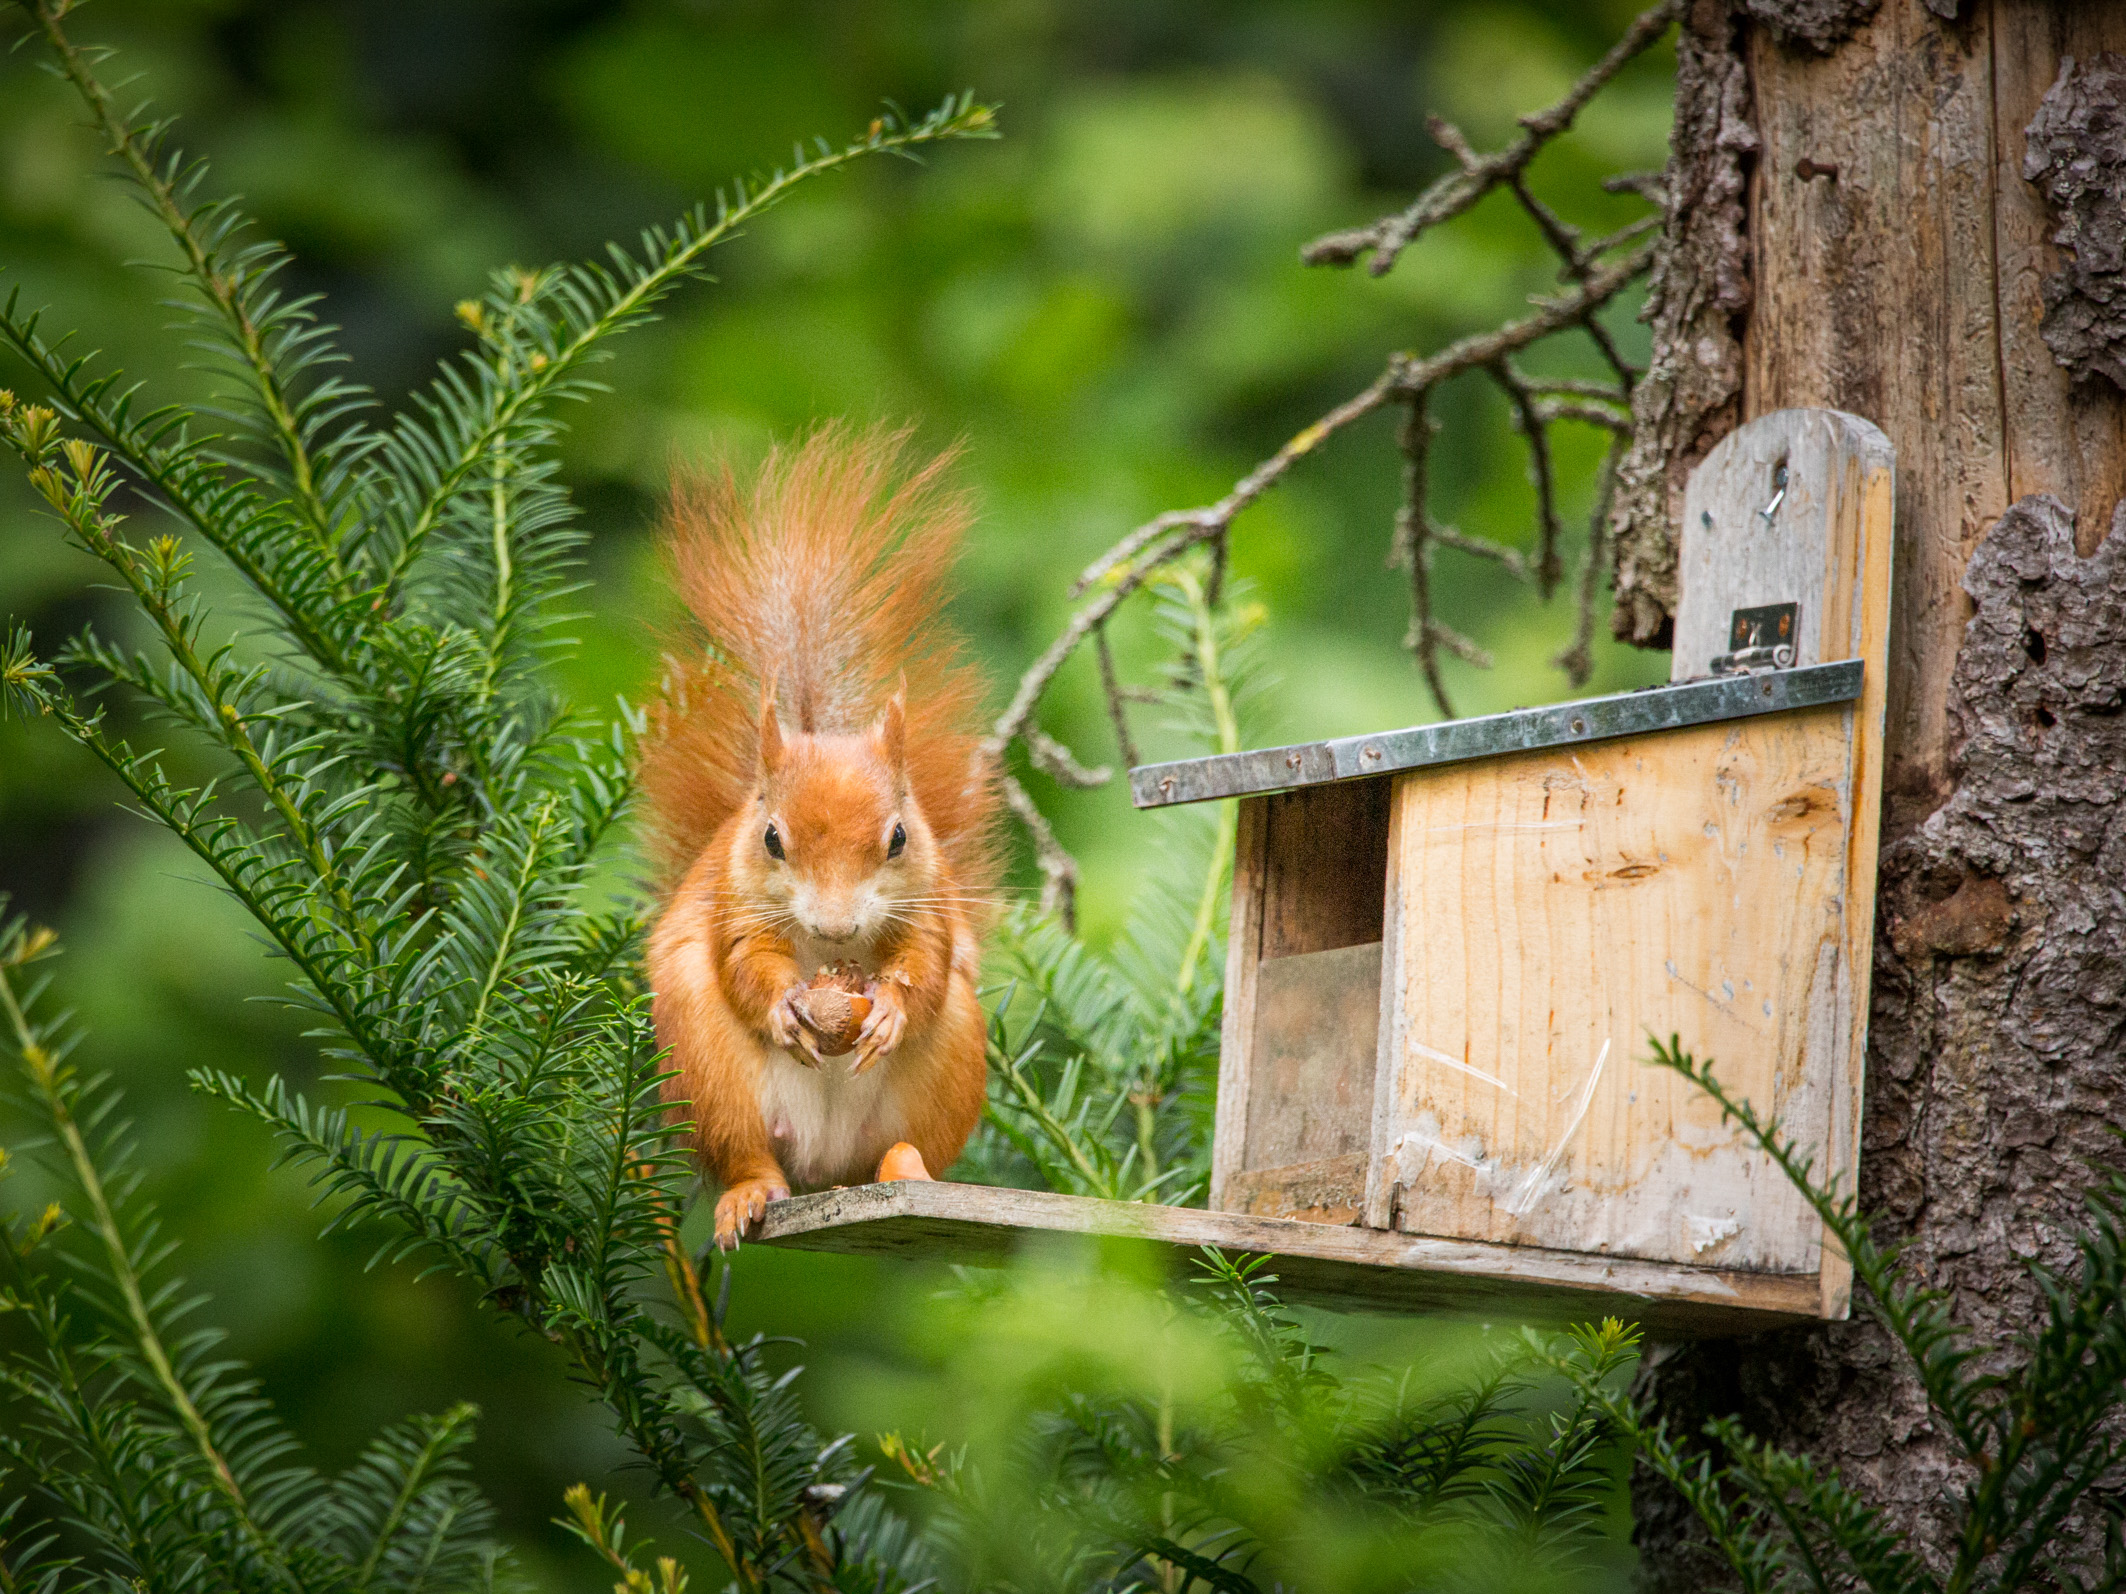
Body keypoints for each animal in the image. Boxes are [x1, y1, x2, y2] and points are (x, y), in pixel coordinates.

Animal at [633, 431, 999, 1258]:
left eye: (900, 836)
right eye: (770, 837)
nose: (835, 926)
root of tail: (823, 1170)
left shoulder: (931, 901)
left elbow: (927, 966)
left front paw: (890, 1008)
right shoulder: (732, 902)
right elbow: (744, 965)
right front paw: (782, 1007)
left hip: (950, 1065)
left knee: (899, 1143)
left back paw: (908, 1171)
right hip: (704, 1067)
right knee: (747, 1153)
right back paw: (749, 1195)